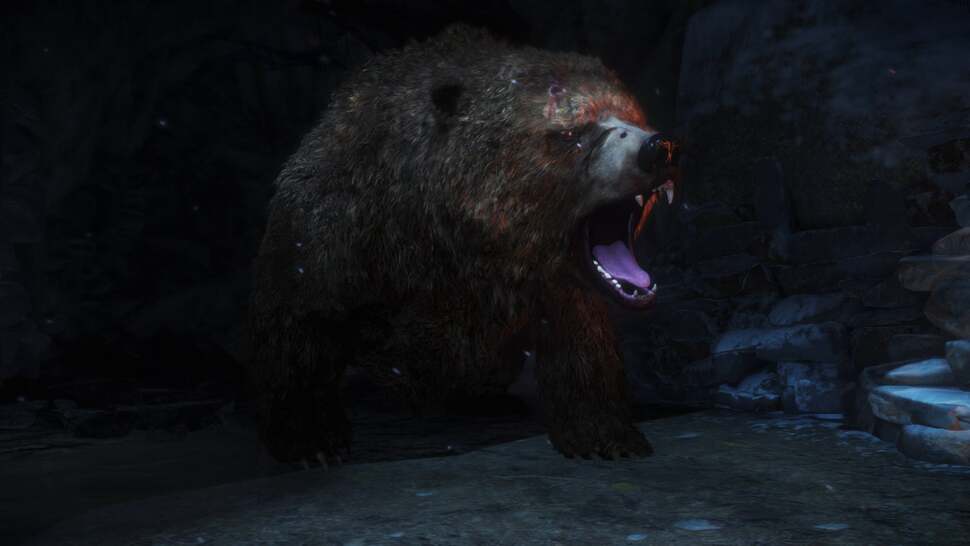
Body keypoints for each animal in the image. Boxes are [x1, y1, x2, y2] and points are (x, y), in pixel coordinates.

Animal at [249, 25, 679, 464]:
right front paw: (312, 440)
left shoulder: (547, 279)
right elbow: (301, 317)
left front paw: (606, 434)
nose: (657, 148)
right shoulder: (343, 223)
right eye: (573, 131)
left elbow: (581, 339)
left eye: (630, 114)